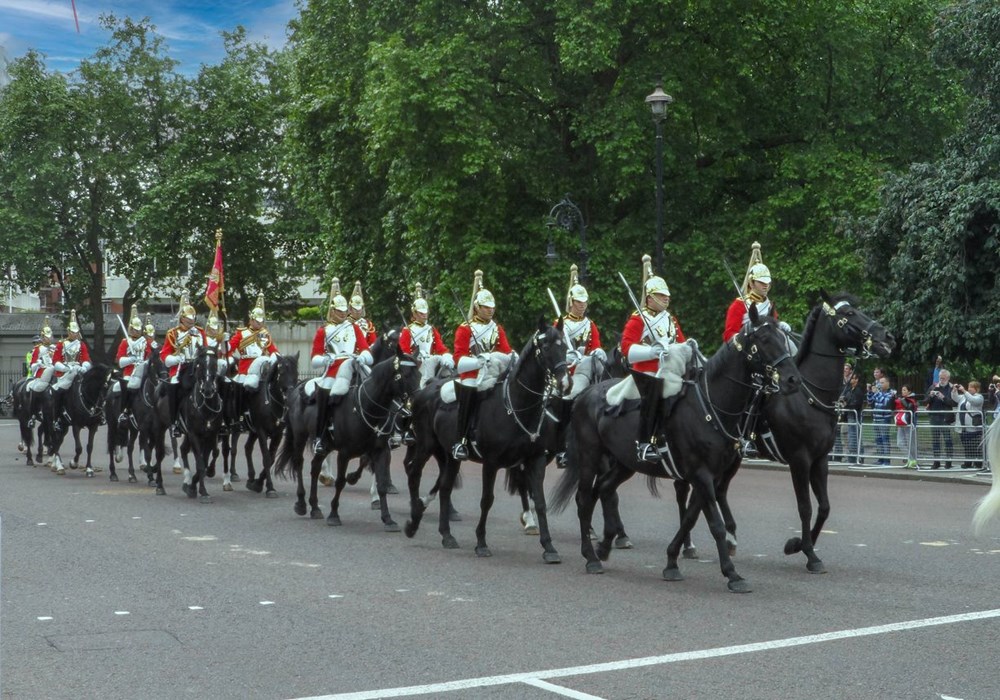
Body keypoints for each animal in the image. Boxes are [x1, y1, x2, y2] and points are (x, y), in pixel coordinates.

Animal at [272, 344, 420, 532]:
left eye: (420, 375)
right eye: (406, 375)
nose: (418, 404)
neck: (367, 407)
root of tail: (298, 387)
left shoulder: (381, 451)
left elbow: (381, 484)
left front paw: (388, 519)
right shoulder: (344, 453)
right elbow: (340, 482)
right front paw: (334, 515)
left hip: (325, 445)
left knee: (314, 468)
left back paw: (315, 507)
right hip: (299, 436)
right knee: (299, 463)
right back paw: (301, 503)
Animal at [400, 320, 572, 560]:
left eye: (564, 347)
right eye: (546, 347)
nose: (565, 383)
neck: (517, 406)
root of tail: (427, 387)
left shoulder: (535, 459)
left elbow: (539, 501)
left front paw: (548, 547)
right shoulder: (491, 463)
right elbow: (487, 500)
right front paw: (481, 543)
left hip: (450, 454)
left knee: (445, 486)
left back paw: (446, 535)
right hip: (426, 445)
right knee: (414, 474)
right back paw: (414, 520)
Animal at [552, 308, 800, 588]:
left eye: (783, 337)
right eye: (765, 339)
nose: (793, 380)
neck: (711, 406)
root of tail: (585, 394)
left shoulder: (709, 476)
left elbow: (691, 518)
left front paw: (672, 561)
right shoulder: (701, 474)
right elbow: (714, 524)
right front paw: (732, 574)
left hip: (625, 462)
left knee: (604, 489)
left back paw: (605, 547)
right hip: (589, 456)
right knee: (584, 499)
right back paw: (591, 557)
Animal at [708, 292, 896, 572]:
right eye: (849, 313)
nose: (888, 337)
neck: (809, 396)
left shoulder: (820, 459)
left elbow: (825, 507)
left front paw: (797, 545)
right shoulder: (800, 459)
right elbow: (805, 507)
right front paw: (809, 554)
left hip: (734, 457)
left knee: (719, 490)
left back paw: (728, 539)